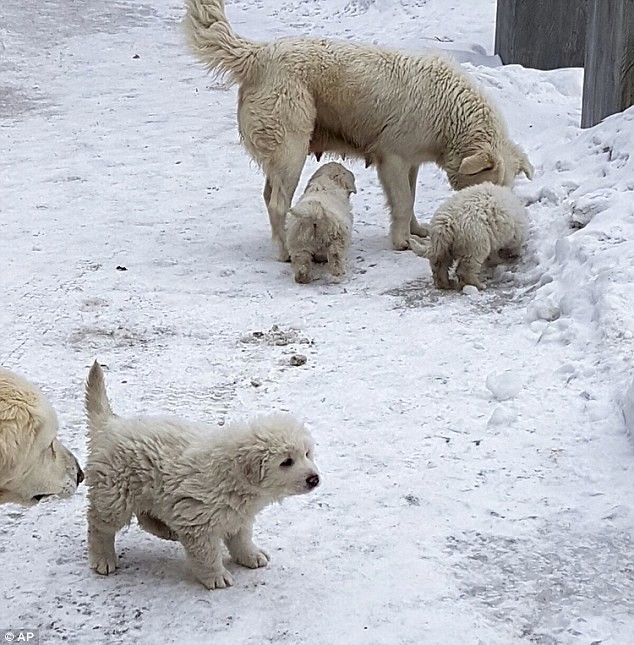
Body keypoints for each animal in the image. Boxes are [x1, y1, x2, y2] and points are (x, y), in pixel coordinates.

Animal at [84, 360, 320, 592]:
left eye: (307, 454)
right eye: (286, 462)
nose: (314, 479)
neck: (234, 477)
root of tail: (109, 425)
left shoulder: (238, 516)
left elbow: (241, 539)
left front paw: (251, 555)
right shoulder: (197, 520)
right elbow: (208, 554)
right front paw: (216, 576)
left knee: (145, 516)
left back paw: (167, 531)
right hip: (115, 494)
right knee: (99, 525)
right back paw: (103, 559)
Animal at [184, 3, 532, 260]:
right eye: (487, 185)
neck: (451, 113)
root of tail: (258, 54)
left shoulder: (411, 162)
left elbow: (410, 199)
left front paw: (416, 231)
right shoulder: (392, 158)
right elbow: (402, 202)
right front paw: (403, 243)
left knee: (270, 197)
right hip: (291, 149)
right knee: (278, 204)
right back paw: (286, 252)